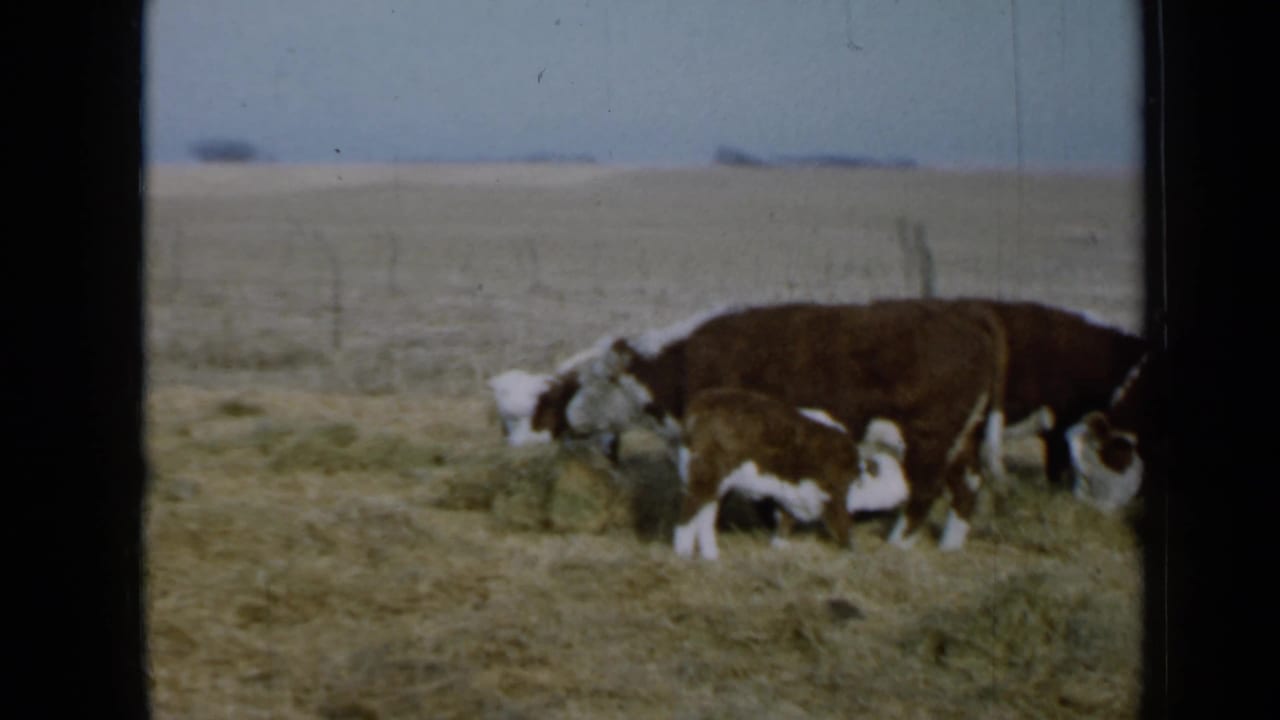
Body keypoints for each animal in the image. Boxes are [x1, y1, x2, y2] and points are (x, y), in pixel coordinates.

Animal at [674, 387, 909, 560]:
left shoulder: (794, 494)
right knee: (690, 509)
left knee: (706, 512)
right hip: (705, 473)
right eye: (891, 473)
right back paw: (683, 553)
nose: (906, 492)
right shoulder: (832, 495)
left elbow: (786, 519)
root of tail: (702, 403)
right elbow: (843, 526)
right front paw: (853, 553)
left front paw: (780, 546)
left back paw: (710, 555)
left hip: (715, 482)